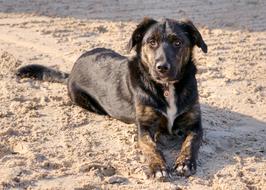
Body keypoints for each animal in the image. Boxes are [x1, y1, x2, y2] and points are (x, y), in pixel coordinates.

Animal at [16, 17, 208, 180]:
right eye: (151, 42)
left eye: (177, 42)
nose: (162, 68)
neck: (167, 88)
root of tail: (72, 70)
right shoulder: (144, 127)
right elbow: (150, 147)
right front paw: (158, 167)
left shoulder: (194, 125)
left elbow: (190, 143)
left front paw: (184, 163)